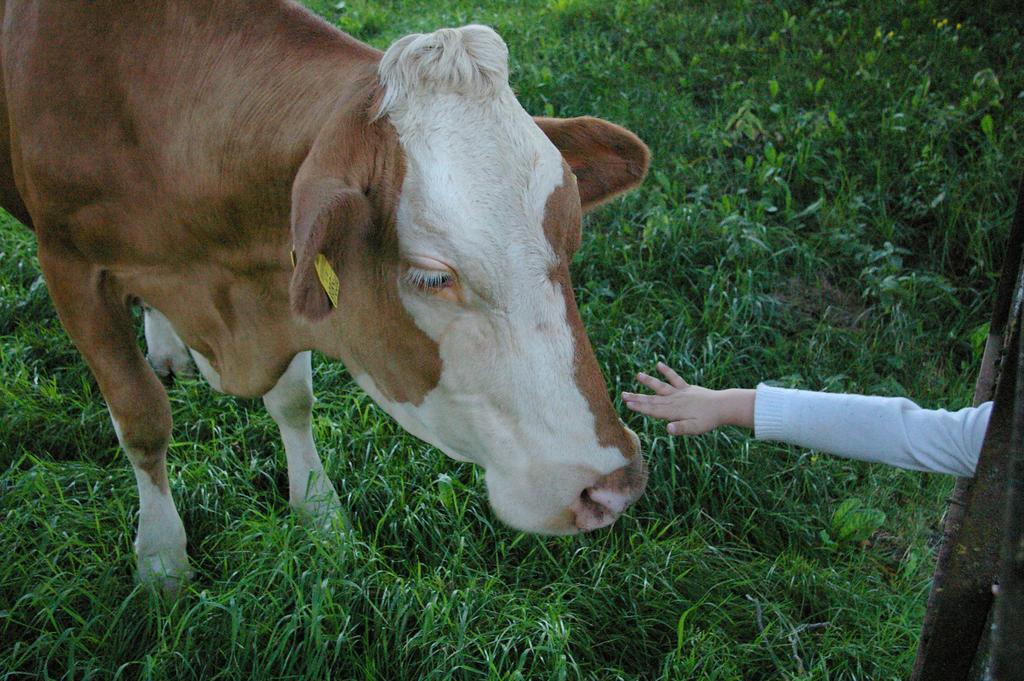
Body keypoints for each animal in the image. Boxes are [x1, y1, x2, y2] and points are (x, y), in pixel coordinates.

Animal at [2, 0, 647, 585]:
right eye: (433, 276)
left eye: (570, 237)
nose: (612, 485)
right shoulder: (70, 270)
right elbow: (140, 419)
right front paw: (162, 561)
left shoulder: (283, 282)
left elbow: (293, 400)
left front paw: (320, 516)